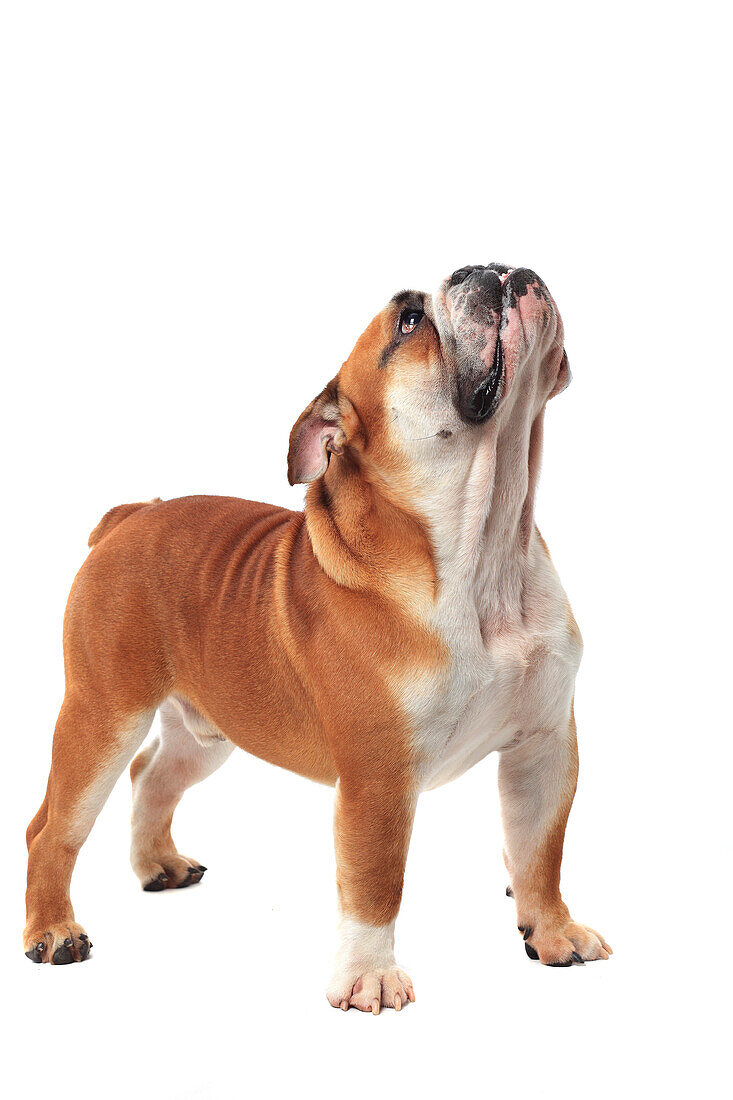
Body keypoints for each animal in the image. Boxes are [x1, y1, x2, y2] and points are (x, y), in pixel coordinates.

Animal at [22, 261, 607, 1007]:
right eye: (408, 323)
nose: (487, 268)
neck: (488, 544)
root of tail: (129, 517)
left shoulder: (543, 745)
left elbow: (540, 850)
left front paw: (552, 931)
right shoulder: (378, 777)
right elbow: (376, 882)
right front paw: (369, 977)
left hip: (210, 731)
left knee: (152, 772)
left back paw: (159, 864)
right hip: (103, 715)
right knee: (53, 828)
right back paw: (54, 930)